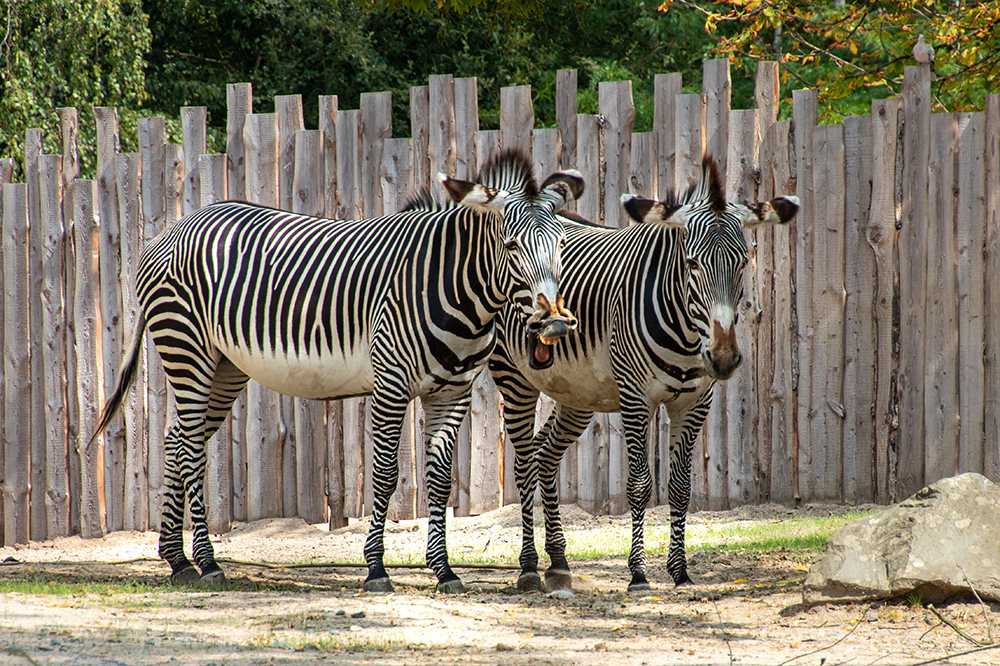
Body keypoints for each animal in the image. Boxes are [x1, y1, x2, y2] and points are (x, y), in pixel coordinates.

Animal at [94, 150, 584, 592]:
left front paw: (444, 571)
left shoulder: (453, 392)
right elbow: (385, 475)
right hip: (187, 348)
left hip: (224, 366)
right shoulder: (391, 383)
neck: (455, 290)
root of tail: (173, 227)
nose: (556, 324)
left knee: (176, 440)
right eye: (512, 246)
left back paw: (177, 561)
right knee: (192, 449)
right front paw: (377, 569)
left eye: (561, 244)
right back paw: (208, 563)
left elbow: (440, 480)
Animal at [488, 156, 800, 592]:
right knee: (523, 464)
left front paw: (680, 572)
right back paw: (530, 567)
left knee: (545, 456)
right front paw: (638, 573)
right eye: (691, 263)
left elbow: (681, 488)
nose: (723, 359)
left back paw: (559, 564)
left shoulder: (694, 403)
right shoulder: (636, 399)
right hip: (513, 378)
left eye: (743, 262)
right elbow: (638, 486)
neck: (687, 336)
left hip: (577, 393)